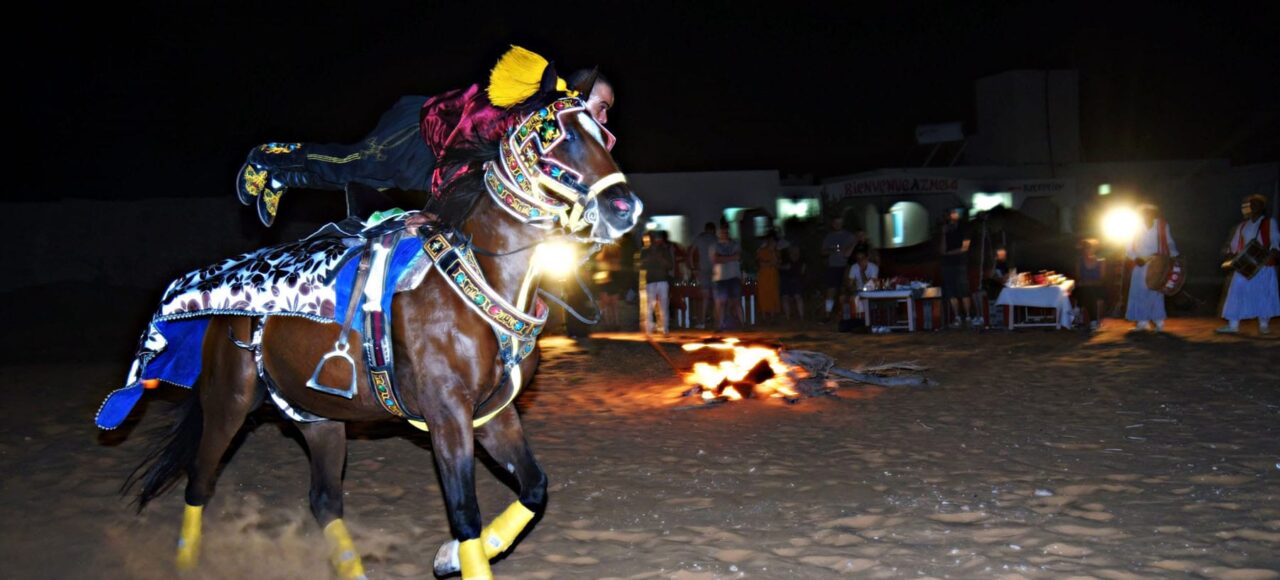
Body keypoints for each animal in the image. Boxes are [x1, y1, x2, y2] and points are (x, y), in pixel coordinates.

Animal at [127, 66, 640, 573]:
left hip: (316, 415)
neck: (480, 277)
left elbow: (534, 488)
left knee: (323, 501)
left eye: (602, 133)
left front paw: (450, 557)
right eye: (559, 136)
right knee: (200, 482)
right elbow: (465, 514)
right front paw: (457, 552)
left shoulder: (493, 414)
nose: (624, 208)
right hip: (229, 401)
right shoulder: (446, 414)